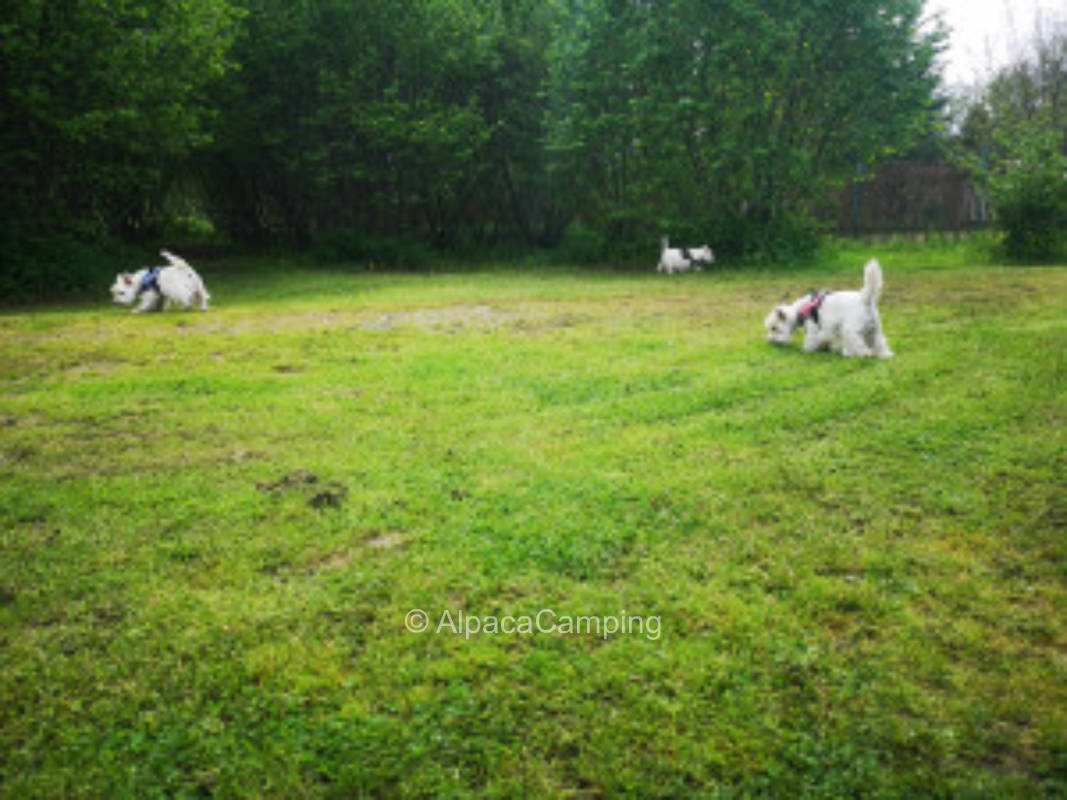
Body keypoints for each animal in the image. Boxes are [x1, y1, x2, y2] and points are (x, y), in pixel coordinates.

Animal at [763, 258, 896, 358]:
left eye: (774, 328)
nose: (770, 341)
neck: (799, 311)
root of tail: (865, 299)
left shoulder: (814, 328)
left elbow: (812, 340)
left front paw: (807, 349)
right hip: (875, 330)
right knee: (880, 344)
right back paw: (884, 354)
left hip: (850, 331)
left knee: (861, 347)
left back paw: (857, 354)